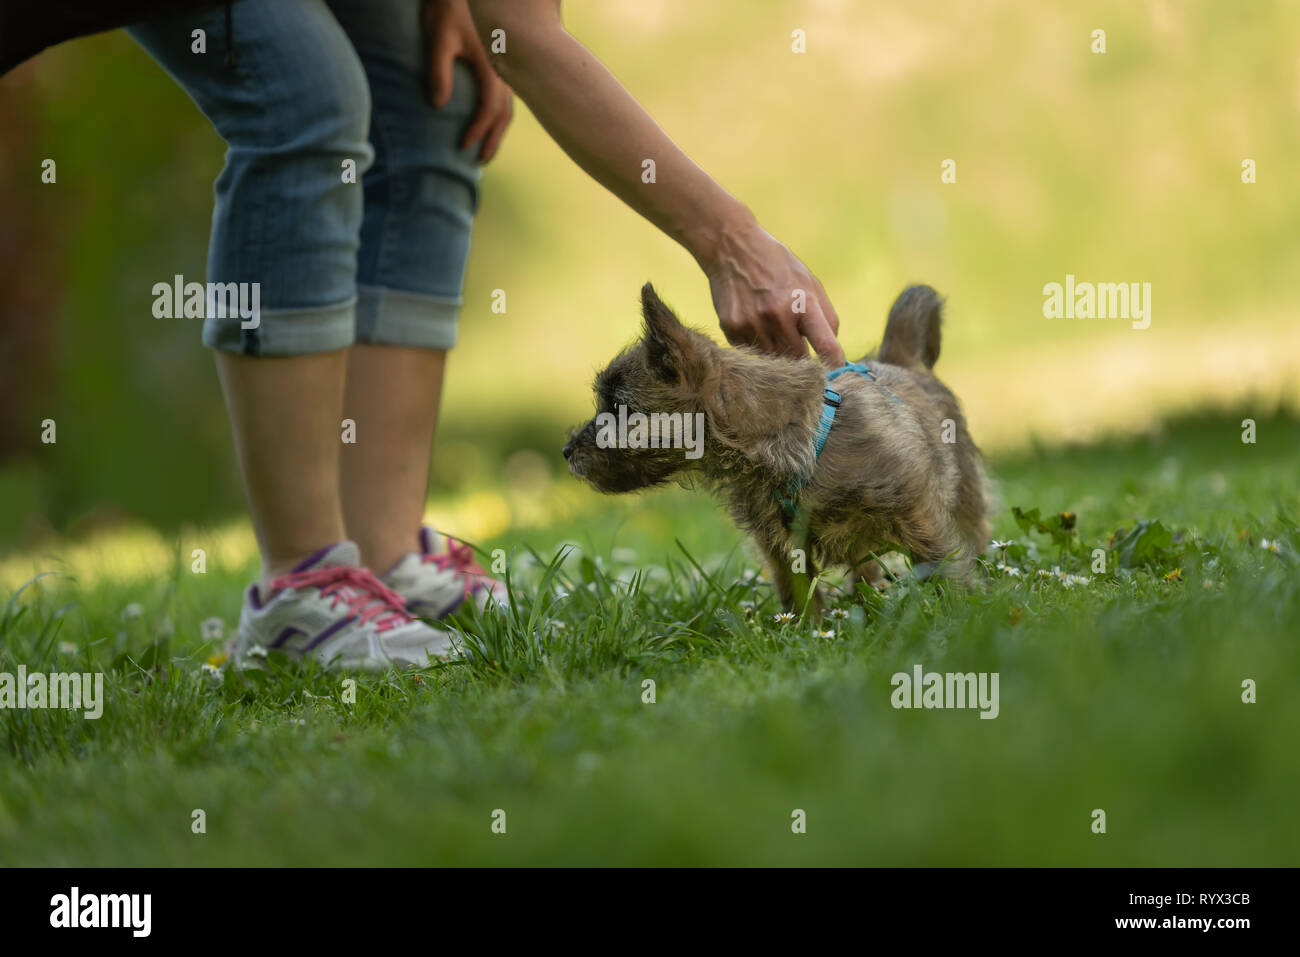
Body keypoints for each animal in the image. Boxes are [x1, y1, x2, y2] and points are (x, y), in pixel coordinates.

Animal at [564, 283, 987, 613]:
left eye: (617, 407)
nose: (567, 450)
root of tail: (898, 361)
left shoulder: (920, 519)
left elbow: (945, 571)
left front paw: (958, 619)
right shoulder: (782, 550)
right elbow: (800, 600)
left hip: (966, 498)